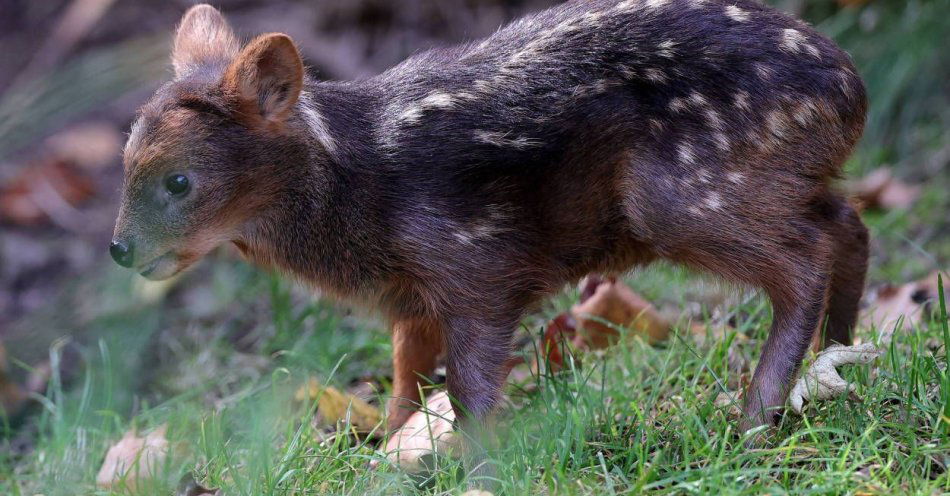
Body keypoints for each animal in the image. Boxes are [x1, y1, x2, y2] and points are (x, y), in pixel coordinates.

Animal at [111, 0, 872, 462]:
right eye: (124, 162)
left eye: (179, 181)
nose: (120, 249)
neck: (359, 190)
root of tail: (849, 89)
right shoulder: (413, 298)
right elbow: (406, 379)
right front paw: (387, 452)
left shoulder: (475, 263)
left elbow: (472, 386)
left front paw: (475, 464)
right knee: (846, 221)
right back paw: (839, 359)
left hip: (678, 194)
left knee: (803, 260)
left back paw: (754, 417)